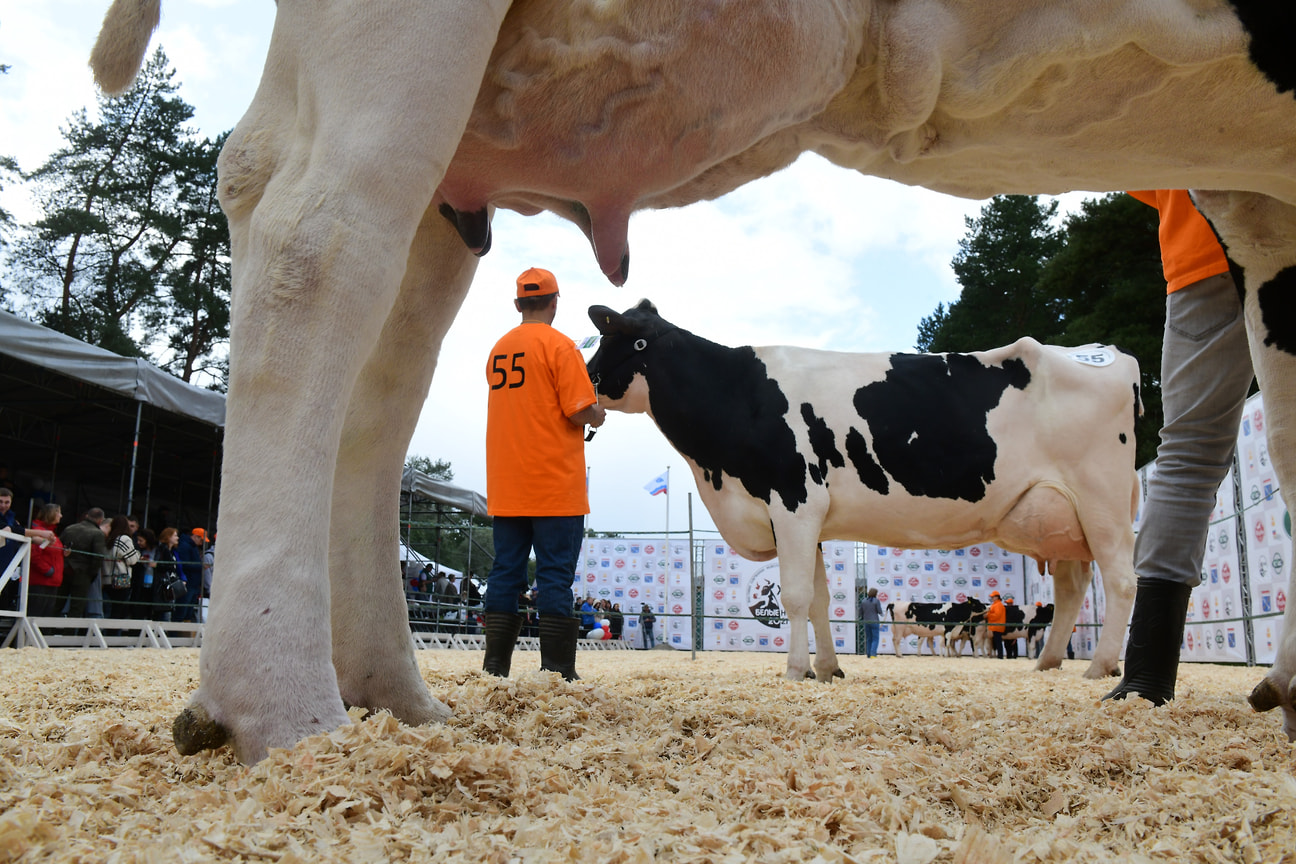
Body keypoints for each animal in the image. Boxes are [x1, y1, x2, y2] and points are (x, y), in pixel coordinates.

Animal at [583, 300, 1140, 683]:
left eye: (611, 342)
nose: (584, 383)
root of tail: (1111, 355)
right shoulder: (806, 519)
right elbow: (820, 598)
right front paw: (827, 669)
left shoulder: (794, 502)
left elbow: (796, 595)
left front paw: (795, 671)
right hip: (1061, 518)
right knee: (1071, 589)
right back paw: (1048, 663)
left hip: (1103, 502)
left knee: (1121, 581)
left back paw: (1100, 666)